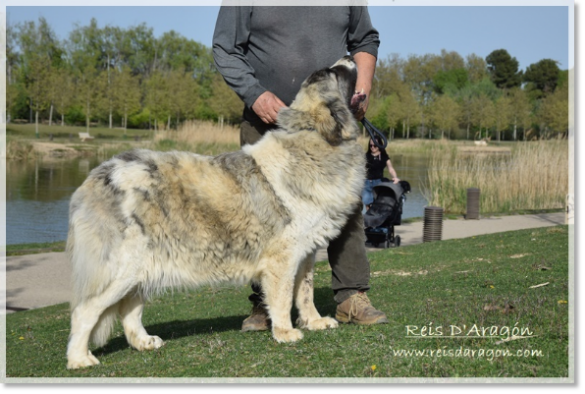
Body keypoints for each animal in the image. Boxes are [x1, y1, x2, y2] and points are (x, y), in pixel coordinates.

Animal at [65, 55, 364, 370]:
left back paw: (144, 342)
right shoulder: (282, 257)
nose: (349, 56)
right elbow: (283, 296)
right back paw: (79, 359)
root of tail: (95, 177)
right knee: (85, 310)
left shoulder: (305, 253)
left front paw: (314, 322)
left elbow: (305, 291)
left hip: (140, 267)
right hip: (121, 267)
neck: (314, 138)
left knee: (130, 309)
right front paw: (285, 332)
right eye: (331, 73)